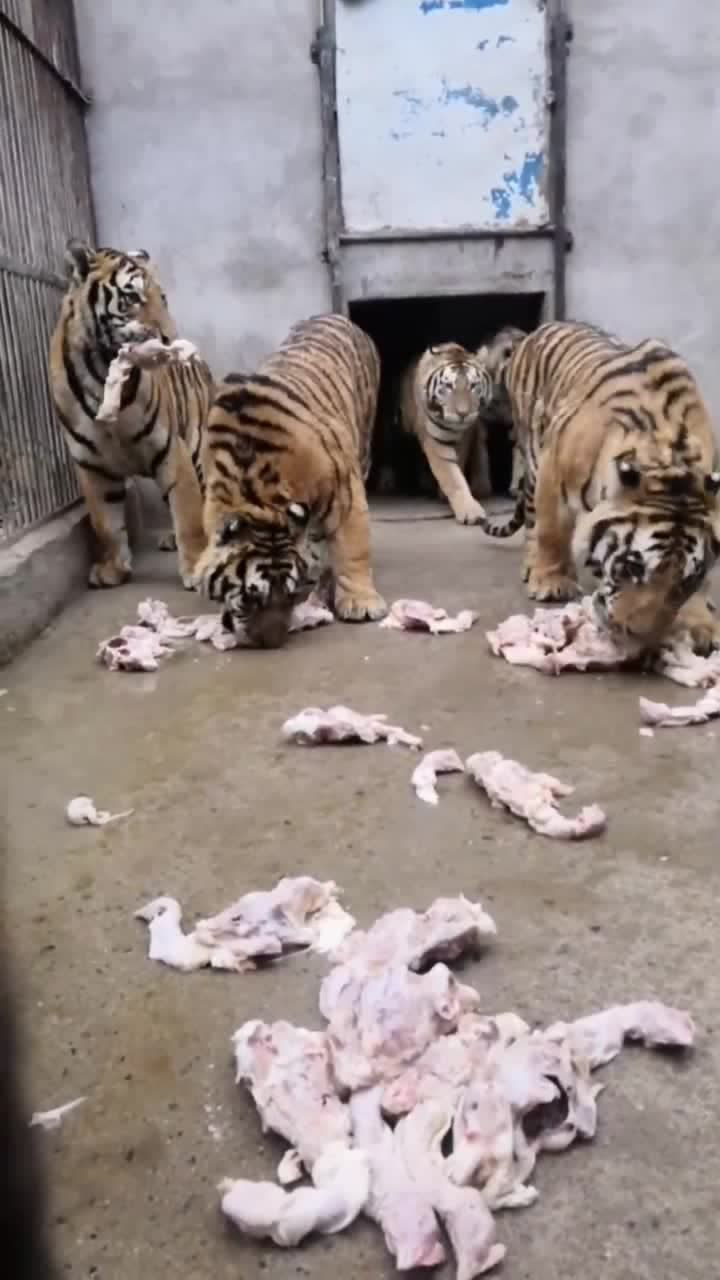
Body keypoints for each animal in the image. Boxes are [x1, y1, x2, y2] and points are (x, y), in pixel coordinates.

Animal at [49, 240, 213, 589]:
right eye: (132, 298)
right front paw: (113, 568)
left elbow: (189, 515)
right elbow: (105, 523)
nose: (170, 338)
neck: (101, 373)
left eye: (163, 298)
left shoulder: (171, 449)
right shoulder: (91, 464)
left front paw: (195, 566)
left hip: (198, 448)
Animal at [193, 312, 387, 648]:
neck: (258, 498)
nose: (272, 641)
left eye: (291, 595)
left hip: (363, 444)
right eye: (249, 599)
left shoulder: (345, 493)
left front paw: (361, 603)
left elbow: (353, 549)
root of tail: (335, 315)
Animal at [397, 343, 495, 523]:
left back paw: (481, 487)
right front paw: (470, 511)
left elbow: (459, 465)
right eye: (449, 387)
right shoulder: (435, 441)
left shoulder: (466, 435)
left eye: (473, 386)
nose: (463, 414)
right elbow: (451, 476)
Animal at [478, 320, 720, 654]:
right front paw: (552, 583)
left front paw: (701, 622)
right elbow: (551, 532)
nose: (639, 636)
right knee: (532, 522)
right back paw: (534, 566)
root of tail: (533, 332)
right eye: (633, 568)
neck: (671, 460)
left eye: (682, 582)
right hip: (531, 451)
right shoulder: (554, 469)